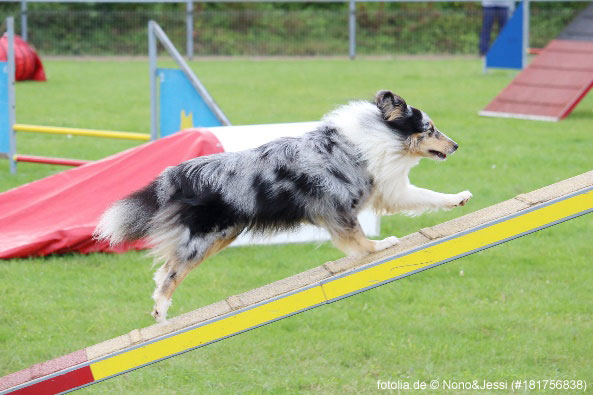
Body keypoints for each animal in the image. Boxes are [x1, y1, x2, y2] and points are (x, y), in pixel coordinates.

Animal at [93, 91, 472, 324]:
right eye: (430, 128)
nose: (456, 145)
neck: (378, 135)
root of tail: (182, 173)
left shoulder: (388, 190)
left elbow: (427, 195)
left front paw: (459, 198)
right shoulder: (338, 206)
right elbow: (358, 238)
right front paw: (380, 246)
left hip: (222, 235)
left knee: (167, 267)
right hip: (208, 237)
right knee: (171, 273)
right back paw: (160, 313)